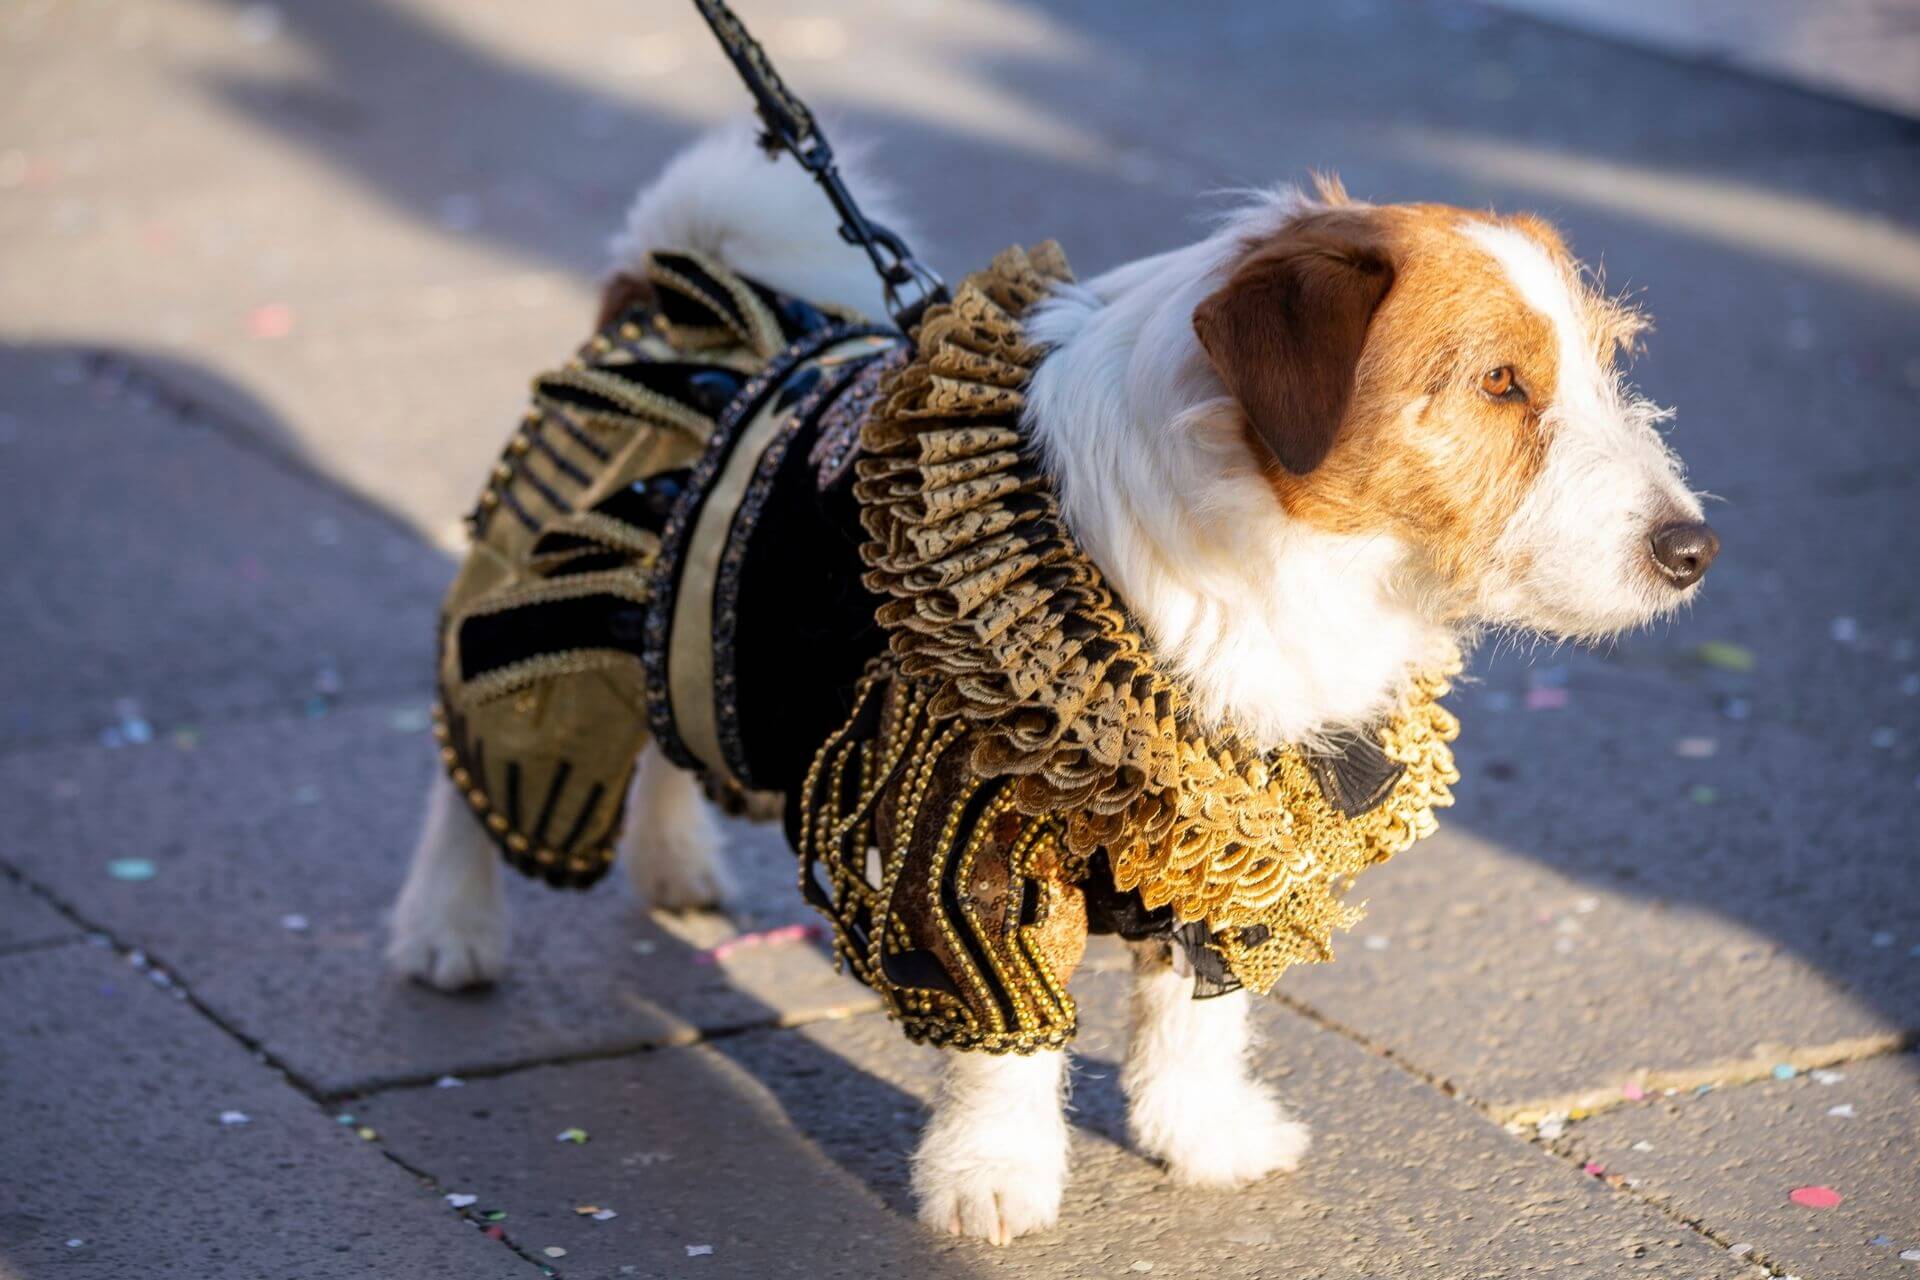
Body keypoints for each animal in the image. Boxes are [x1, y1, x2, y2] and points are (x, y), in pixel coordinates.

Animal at [385, 119, 1712, 1243]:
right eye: (1498, 381)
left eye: (1603, 364)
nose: (1692, 548)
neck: (1289, 557)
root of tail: (662, 295)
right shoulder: (968, 827)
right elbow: (1002, 1031)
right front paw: (992, 1178)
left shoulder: (1230, 825)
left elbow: (1199, 1013)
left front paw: (1204, 1138)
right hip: (544, 615)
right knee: (475, 766)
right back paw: (449, 926)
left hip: (712, 644)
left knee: (674, 740)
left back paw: (673, 863)